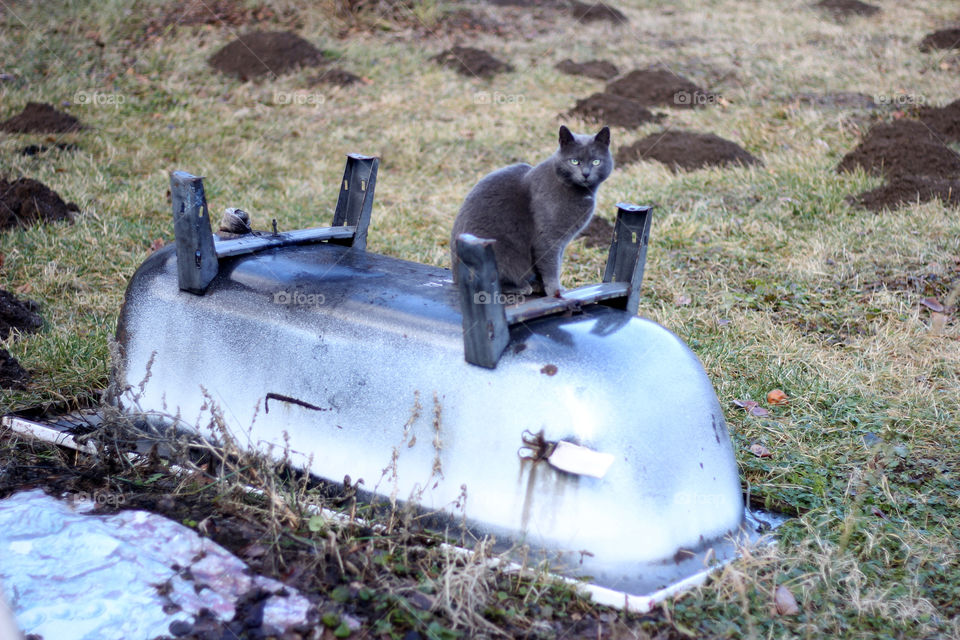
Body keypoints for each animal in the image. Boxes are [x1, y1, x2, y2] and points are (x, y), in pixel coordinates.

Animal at [452, 126, 616, 298]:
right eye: (574, 161)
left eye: (596, 162)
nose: (586, 174)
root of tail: (455, 278)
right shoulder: (548, 238)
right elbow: (551, 267)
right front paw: (556, 291)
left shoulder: (561, 242)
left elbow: (550, 264)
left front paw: (544, 287)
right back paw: (521, 287)